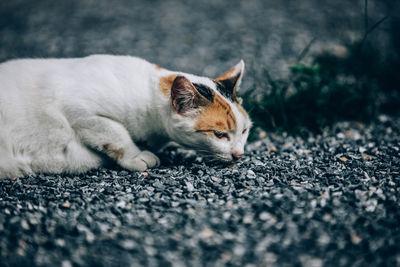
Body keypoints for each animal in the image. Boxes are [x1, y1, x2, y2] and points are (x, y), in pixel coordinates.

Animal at [0, 55, 250, 179]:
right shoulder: (79, 109)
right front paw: (137, 156)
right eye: (219, 134)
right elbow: (115, 135)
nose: (239, 154)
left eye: (245, 131)